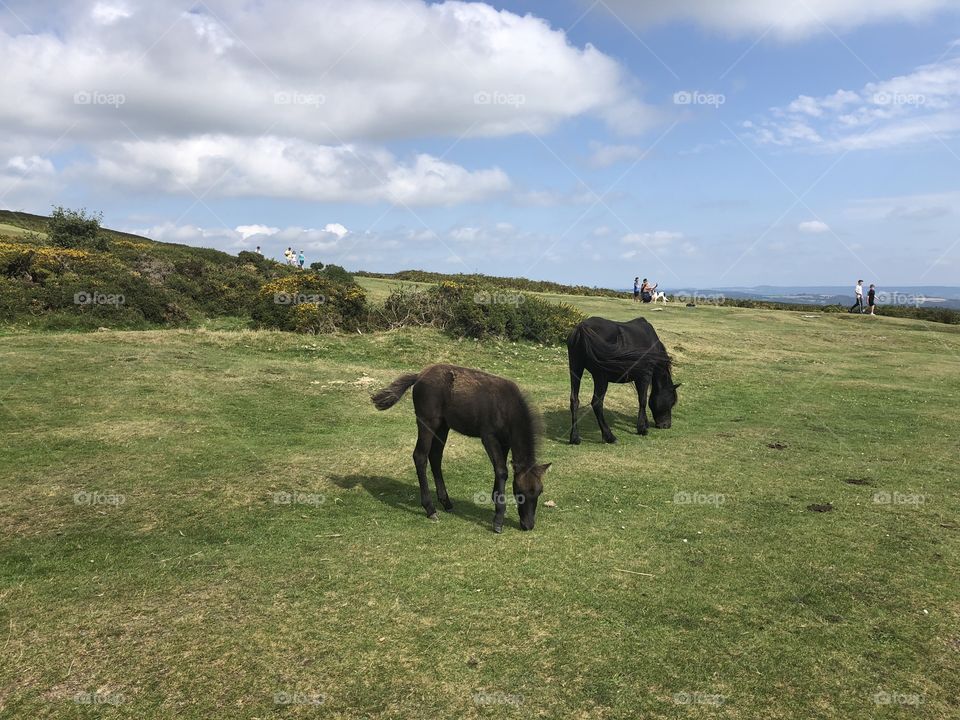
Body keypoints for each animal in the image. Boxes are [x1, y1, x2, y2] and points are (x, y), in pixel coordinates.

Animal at [371, 364, 550, 533]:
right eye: (519, 492)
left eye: (539, 492)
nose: (528, 525)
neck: (507, 407)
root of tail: (419, 376)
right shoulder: (488, 437)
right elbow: (501, 471)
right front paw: (498, 518)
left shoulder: (505, 442)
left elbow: (500, 469)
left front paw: (496, 499)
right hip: (427, 422)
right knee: (420, 456)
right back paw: (430, 508)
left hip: (443, 426)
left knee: (435, 456)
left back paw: (446, 502)